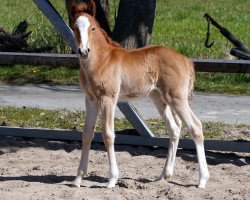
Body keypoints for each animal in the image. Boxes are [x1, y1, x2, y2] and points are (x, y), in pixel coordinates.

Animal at [70, 1, 209, 189]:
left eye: (92, 28)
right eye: (74, 27)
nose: (84, 51)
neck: (100, 60)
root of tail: (185, 60)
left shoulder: (108, 98)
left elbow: (108, 134)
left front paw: (112, 179)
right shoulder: (90, 99)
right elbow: (86, 134)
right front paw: (78, 178)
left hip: (176, 98)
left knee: (196, 127)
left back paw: (202, 180)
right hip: (159, 98)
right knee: (174, 128)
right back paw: (163, 176)